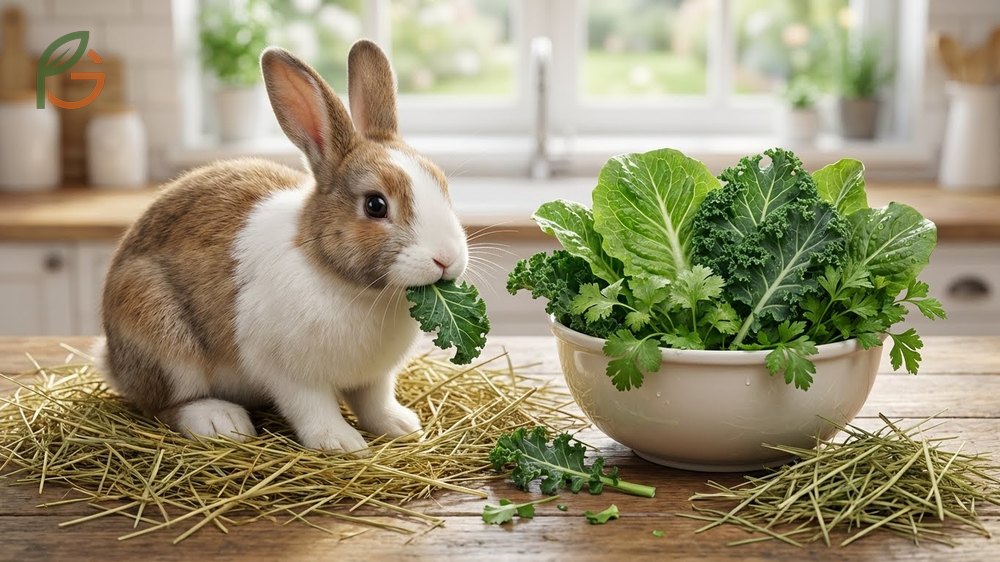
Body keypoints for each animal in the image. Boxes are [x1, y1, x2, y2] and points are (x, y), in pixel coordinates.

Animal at [93, 40, 468, 453]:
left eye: (442, 185)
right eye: (375, 205)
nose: (447, 258)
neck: (350, 286)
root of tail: (112, 359)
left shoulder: (375, 377)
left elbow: (375, 402)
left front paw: (402, 426)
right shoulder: (290, 374)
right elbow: (313, 408)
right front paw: (340, 443)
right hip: (161, 336)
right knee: (162, 404)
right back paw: (220, 421)